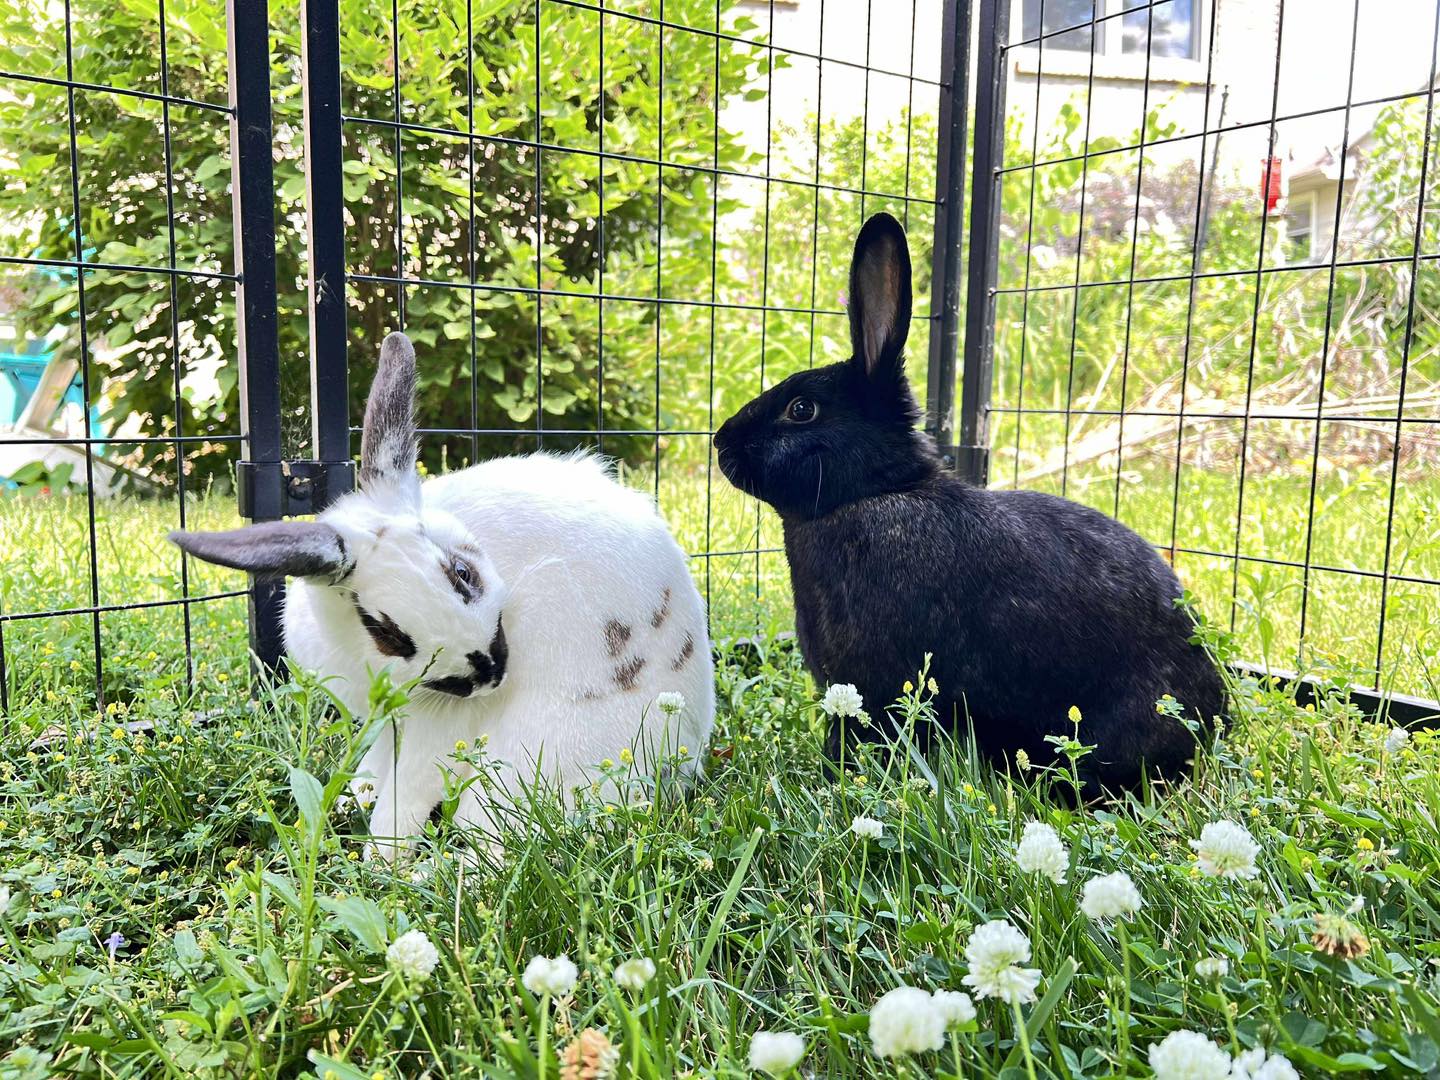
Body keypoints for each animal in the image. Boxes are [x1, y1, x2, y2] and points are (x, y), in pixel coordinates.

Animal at [171, 332, 714, 855]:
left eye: (462, 573)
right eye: (386, 633)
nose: (491, 672)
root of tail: (682, 754)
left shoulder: (438, 726)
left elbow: (405, 793)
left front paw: (382, 860)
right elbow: (379, 768)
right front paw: (351, 803)